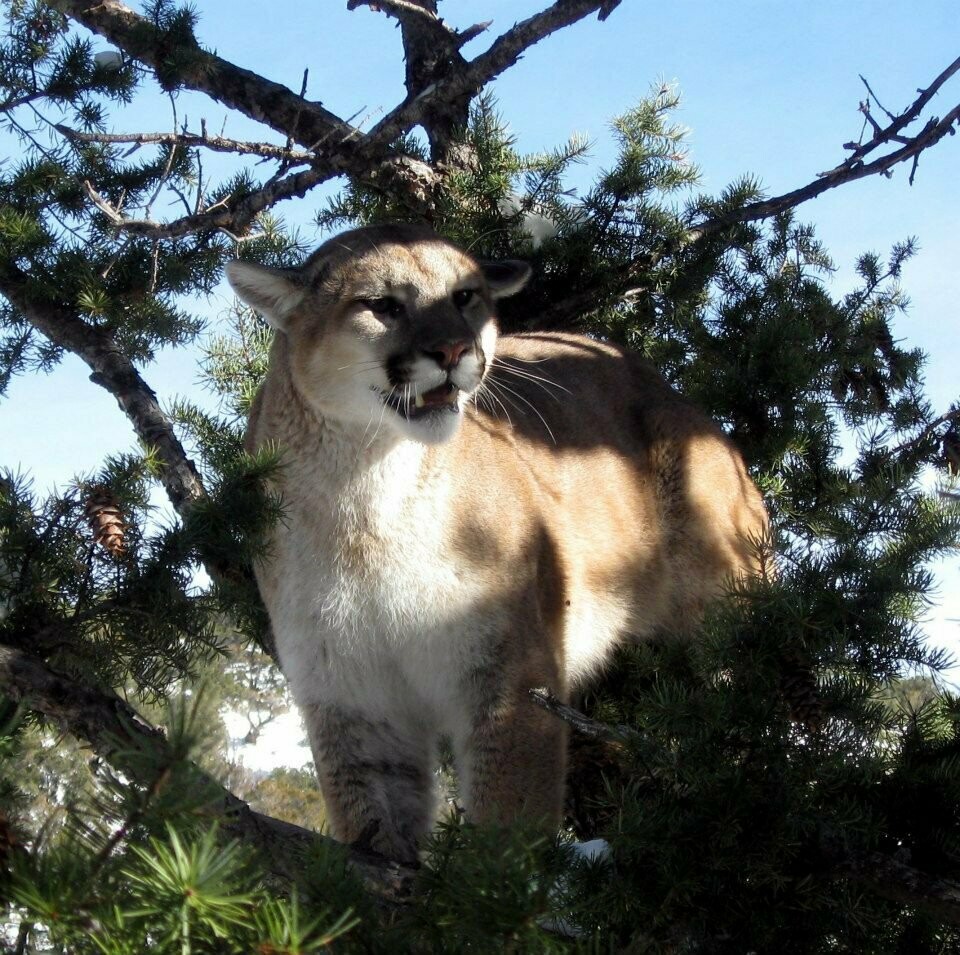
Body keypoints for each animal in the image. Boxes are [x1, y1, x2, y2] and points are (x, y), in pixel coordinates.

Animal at [225, 224, 764, 868]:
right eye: (382, 305)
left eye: (465, 296)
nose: (454, 352)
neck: (364, 502)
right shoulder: (352, 696)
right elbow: (373, 826)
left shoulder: (509, 674)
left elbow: (508, 822)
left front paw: (494, 890)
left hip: (722, 607)